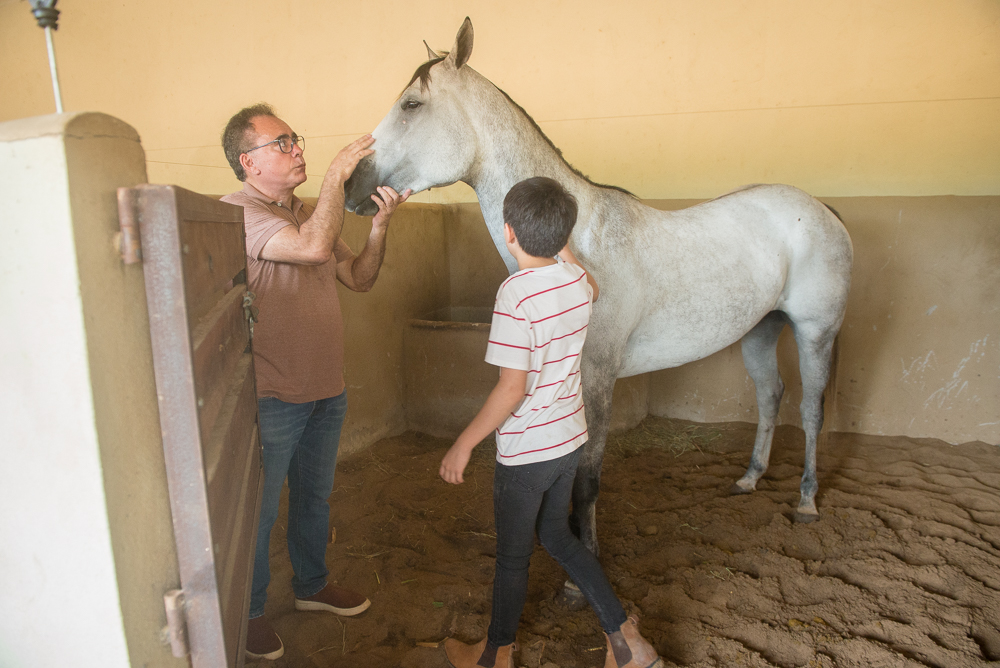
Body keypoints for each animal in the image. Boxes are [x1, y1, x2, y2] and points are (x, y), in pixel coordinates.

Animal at [344, 18, 852, 560]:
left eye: (411, 104)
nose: (352, 185)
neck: (576, 240)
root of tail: (821, 208)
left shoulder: (598, 378)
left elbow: (587, 478)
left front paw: (582, 561)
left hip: (815, 333)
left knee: (811, 410)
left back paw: (807, 501)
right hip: (760, 329)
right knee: (771, 395)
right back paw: (749, 479)